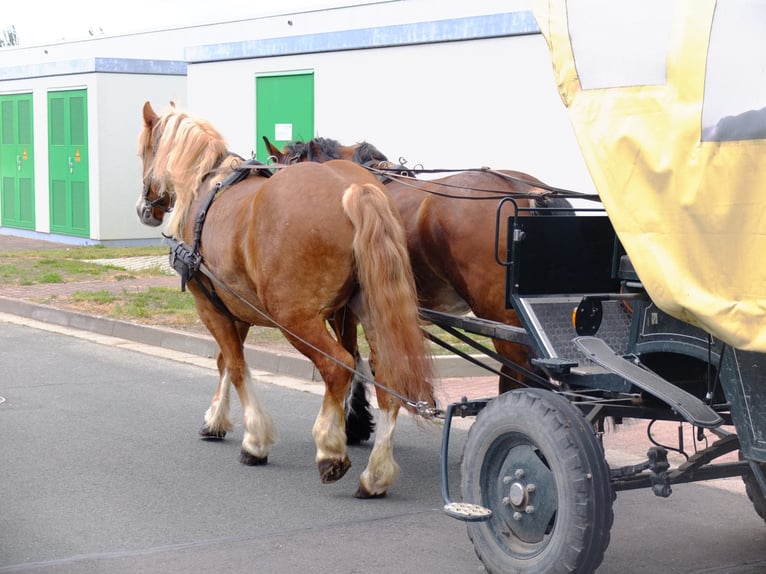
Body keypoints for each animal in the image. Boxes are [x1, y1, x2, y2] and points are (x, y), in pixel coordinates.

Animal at [137, 103, 436, 500]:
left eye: (144, 151)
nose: (144, 208)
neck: (207, 185)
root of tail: (355, 187)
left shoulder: (209, 305)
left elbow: (236, 367)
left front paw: (255, 440)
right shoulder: (236, 307)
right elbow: (224, 362)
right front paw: (216, 420)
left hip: (295, 319)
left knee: (339, 366)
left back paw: (330, 450)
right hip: (368, 310)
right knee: (386, 375)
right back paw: (376, 474)